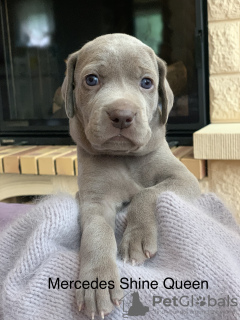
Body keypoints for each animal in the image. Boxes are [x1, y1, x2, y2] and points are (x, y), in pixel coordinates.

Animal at [61, 33, 200, 318]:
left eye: (146, 82)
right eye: (91, 79)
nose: (122, 116)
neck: (123, 157)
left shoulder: (184, 179)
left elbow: (147, 193)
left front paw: (136, 236)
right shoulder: (94, 200)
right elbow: (96, 233)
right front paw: (96, 282)